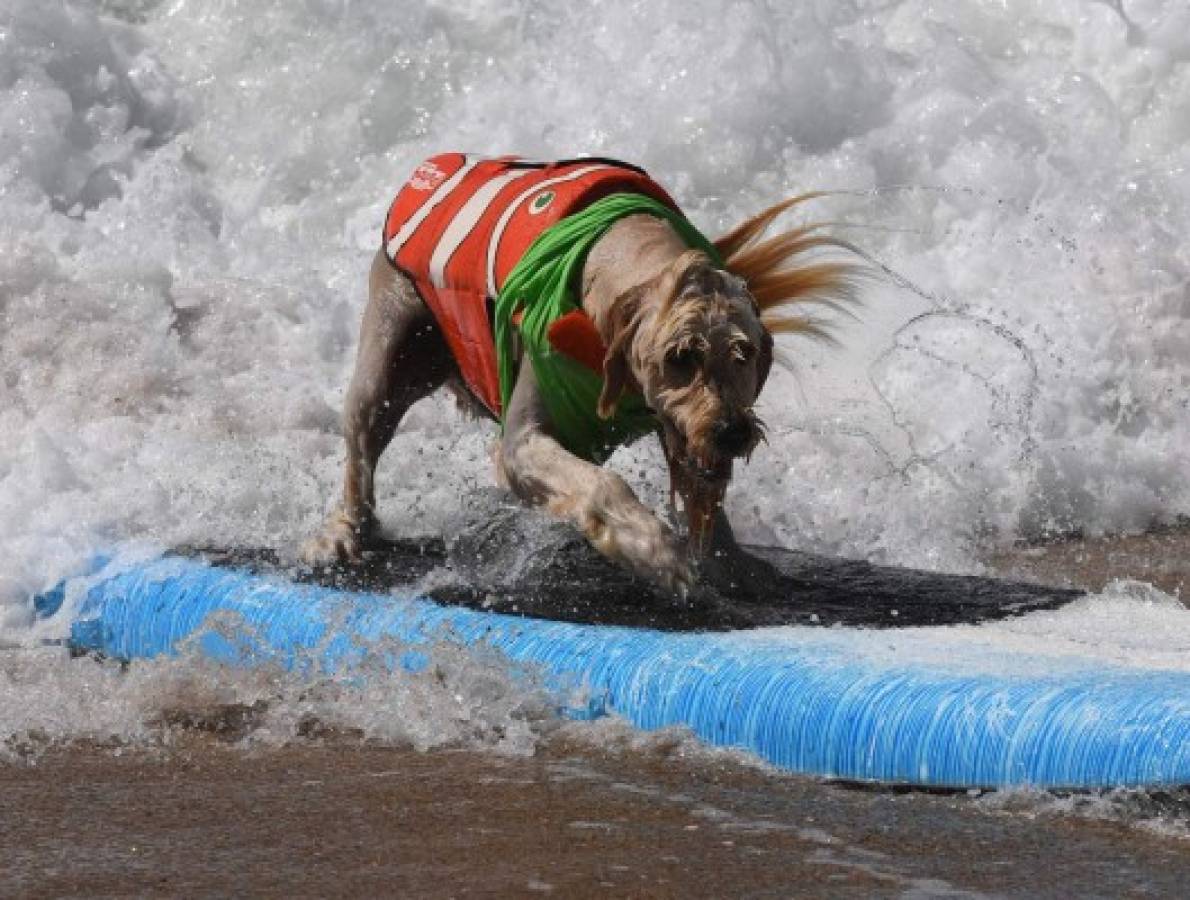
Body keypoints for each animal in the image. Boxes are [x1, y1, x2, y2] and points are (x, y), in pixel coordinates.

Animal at [302, 154, 852, 597]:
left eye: (745, 353)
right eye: (679, 356)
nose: (732, 432)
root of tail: (429, 170)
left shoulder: (678, 428)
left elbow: (698, 497)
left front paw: (733, 563)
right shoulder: (523, 442)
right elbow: (604, 483)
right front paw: (656, 552)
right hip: (392, 338)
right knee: (364, 438)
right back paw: (344, 533)